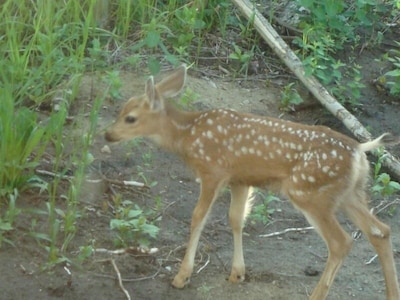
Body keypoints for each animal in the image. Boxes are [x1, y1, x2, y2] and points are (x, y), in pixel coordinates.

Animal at [105, 64, 400, 298]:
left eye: (130, 118)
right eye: (120, 112)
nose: (108, 134)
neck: (187, 135)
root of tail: (360, 151)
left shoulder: (213, 171)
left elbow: (198, 217)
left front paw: (181, 276)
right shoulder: (240, 179)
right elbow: (236, 219)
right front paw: (237, 273)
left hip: (309, 193)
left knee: (342, 242)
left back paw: (316, 295)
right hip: (349, 194)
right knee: (381, 231)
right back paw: (391, 293)